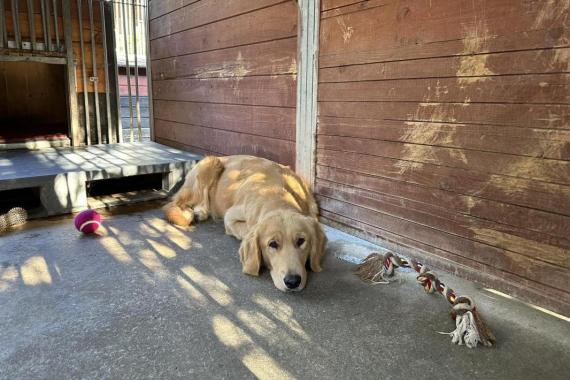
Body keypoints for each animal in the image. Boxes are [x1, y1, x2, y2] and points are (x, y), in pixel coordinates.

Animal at [162, 156, 326, 292]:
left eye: (301, 241)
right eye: (272, 244)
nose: (293, 281)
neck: (277, 194)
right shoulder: (230, 217)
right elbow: (246, 230)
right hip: (210, 165)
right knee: (173, 205)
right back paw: (194, 212)